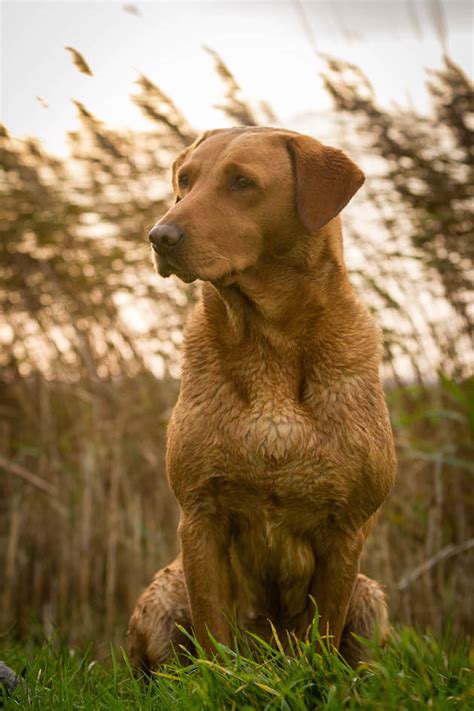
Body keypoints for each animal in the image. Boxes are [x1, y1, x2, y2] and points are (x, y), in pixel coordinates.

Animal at [126, 126, 396, 672]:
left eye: (242, 182)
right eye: (185, 181)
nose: (159, 236)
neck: (268, 342)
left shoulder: (345, 530)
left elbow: (321, 635)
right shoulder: (200, 517)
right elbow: (213, 636)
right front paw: (221, 679)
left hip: (370, 599)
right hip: (163, 594)